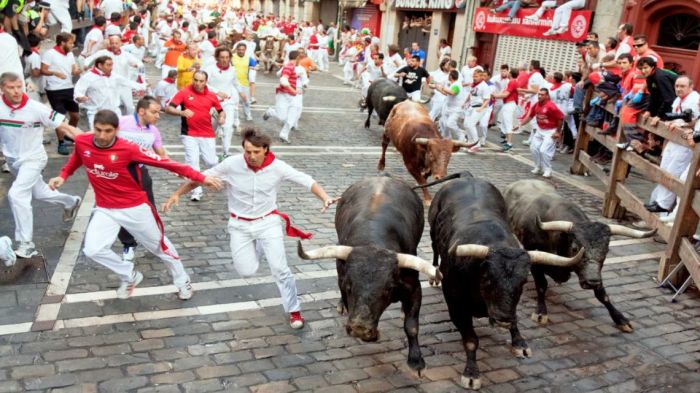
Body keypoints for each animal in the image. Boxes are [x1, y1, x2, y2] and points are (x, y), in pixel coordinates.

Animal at [298, 177, 440, 374]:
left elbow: (411, 326)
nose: (360, 328)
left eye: (388, 288)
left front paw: (416, 360)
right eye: (349, 286)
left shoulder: (414, 288)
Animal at [426, 172, 584, 388]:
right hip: (433, 232)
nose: (502, 318)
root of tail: (467, 177)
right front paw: (471, 373)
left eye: (523, 282)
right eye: (487, 278)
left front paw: (519, 342)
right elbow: (471, 340)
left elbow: (515, 318)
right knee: (434, 248)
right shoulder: (456, 304)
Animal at [504, 180, 656, 330]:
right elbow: (541, 285)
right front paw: (541, 313)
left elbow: (602, 294)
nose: (592, 282)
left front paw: (620, 318)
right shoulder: (535, 260)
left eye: (606, 250)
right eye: (575, 248)